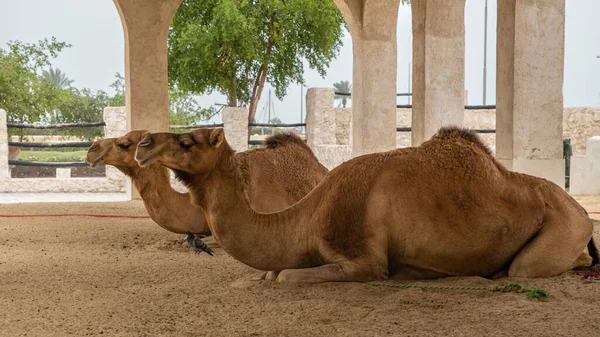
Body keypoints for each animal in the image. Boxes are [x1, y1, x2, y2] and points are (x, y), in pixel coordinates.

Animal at [135, 125, 600, 280]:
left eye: (188, 141)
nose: (142, 143)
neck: (309, 217)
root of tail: (581, 210)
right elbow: (270, 273)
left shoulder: (365, 260)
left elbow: (283, 277)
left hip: (563, 227)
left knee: (529, 267)